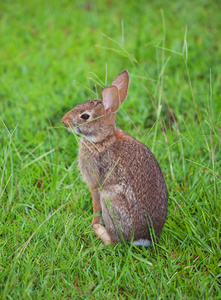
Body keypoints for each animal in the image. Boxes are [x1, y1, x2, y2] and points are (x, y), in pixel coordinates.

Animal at [62, 70, 167, 246]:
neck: (102, 139)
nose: (64, 121)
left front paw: (93, 223)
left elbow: (95, 205)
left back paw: (99, 231)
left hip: (110, 200)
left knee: (114, 241)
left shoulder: (94, 183)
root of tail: (142, 238)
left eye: (85, 116)